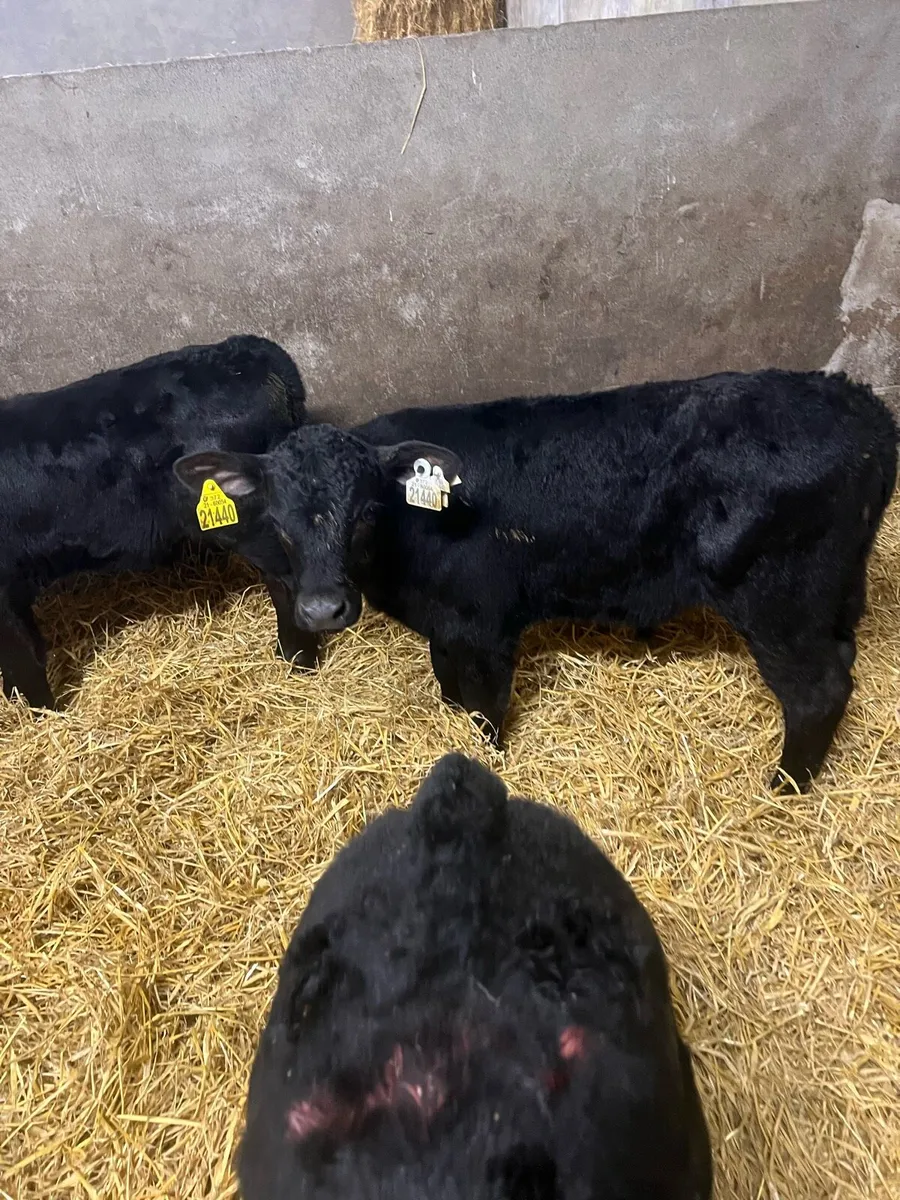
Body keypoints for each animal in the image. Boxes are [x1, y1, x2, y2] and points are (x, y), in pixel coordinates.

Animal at [172, 370, 898, 790]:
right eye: (280, 521)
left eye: (367, 510)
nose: (322, 609)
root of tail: (864, 407)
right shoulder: (448, 625)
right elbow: (450, 688)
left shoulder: (487, 625)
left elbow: (487, 710)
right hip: (832, 595)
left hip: (779, 600)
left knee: (817, 691)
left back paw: (785, 788)